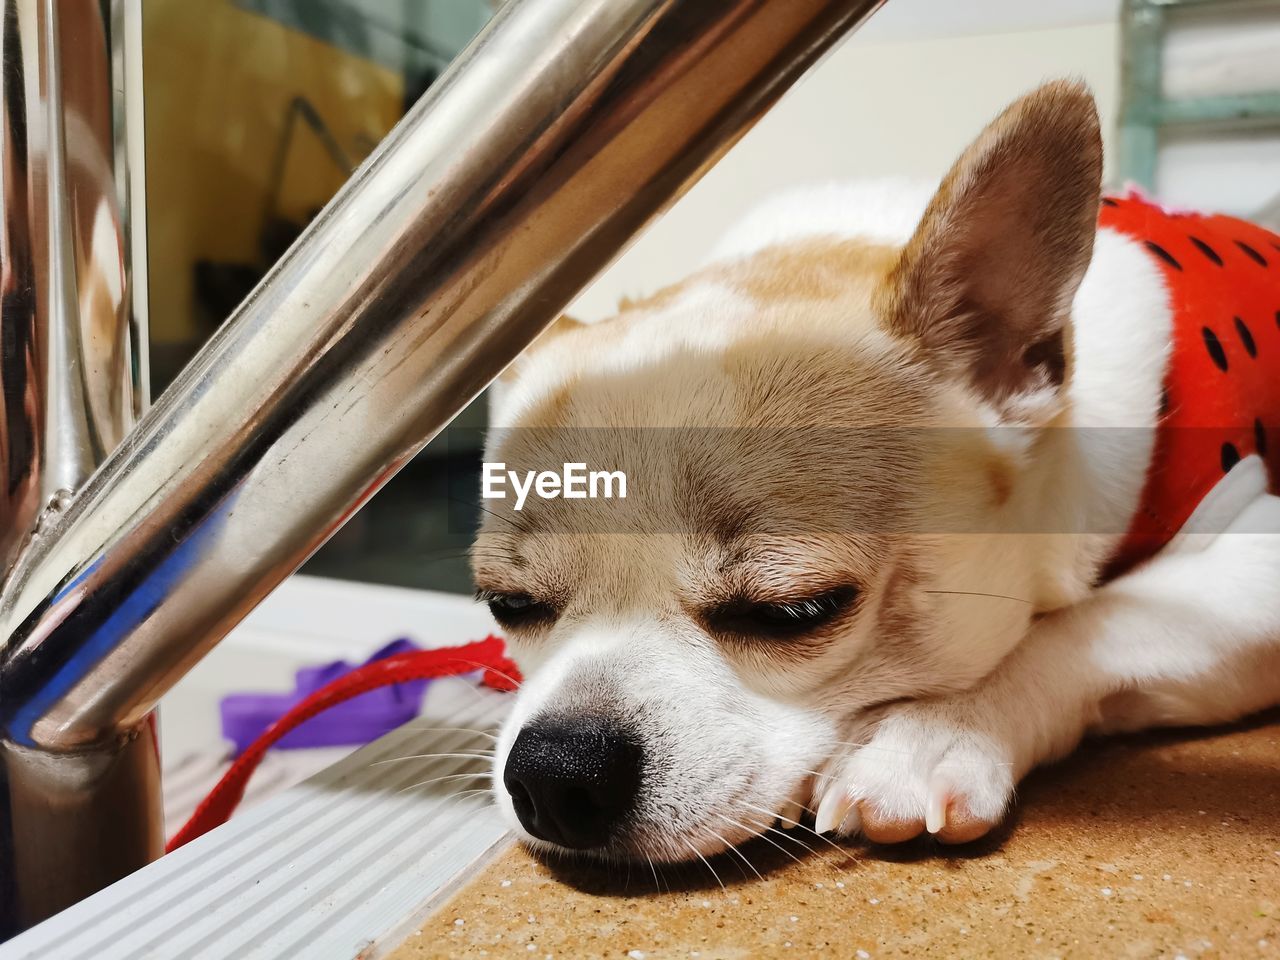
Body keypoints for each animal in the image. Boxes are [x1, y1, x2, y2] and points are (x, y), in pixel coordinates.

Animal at [476, 82, 1280, 865]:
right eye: (507, 605)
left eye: (796, 610)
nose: (556, 771)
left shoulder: (1250, 557)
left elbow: (1091, 624)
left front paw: (928, 734)